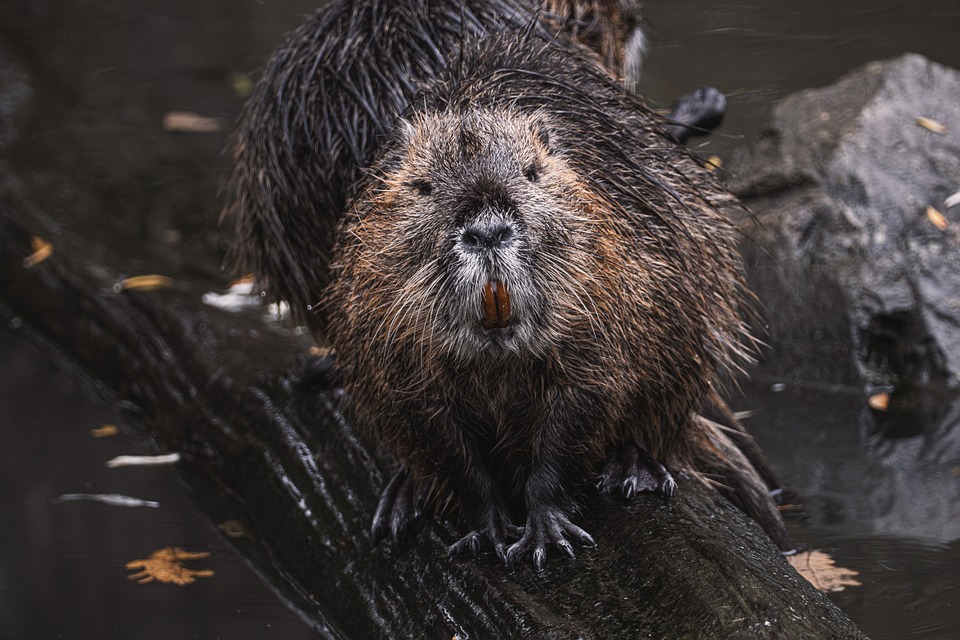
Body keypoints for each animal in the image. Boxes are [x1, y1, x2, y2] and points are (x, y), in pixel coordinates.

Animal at [324, 30, 796, 568]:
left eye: (532, 172)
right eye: (422, 187)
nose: (487, 232)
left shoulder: (604, 322)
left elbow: (572, 420)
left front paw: (546, 534)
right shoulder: (400, 370)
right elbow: (448, 448)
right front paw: (487, 531)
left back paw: (633, 469)